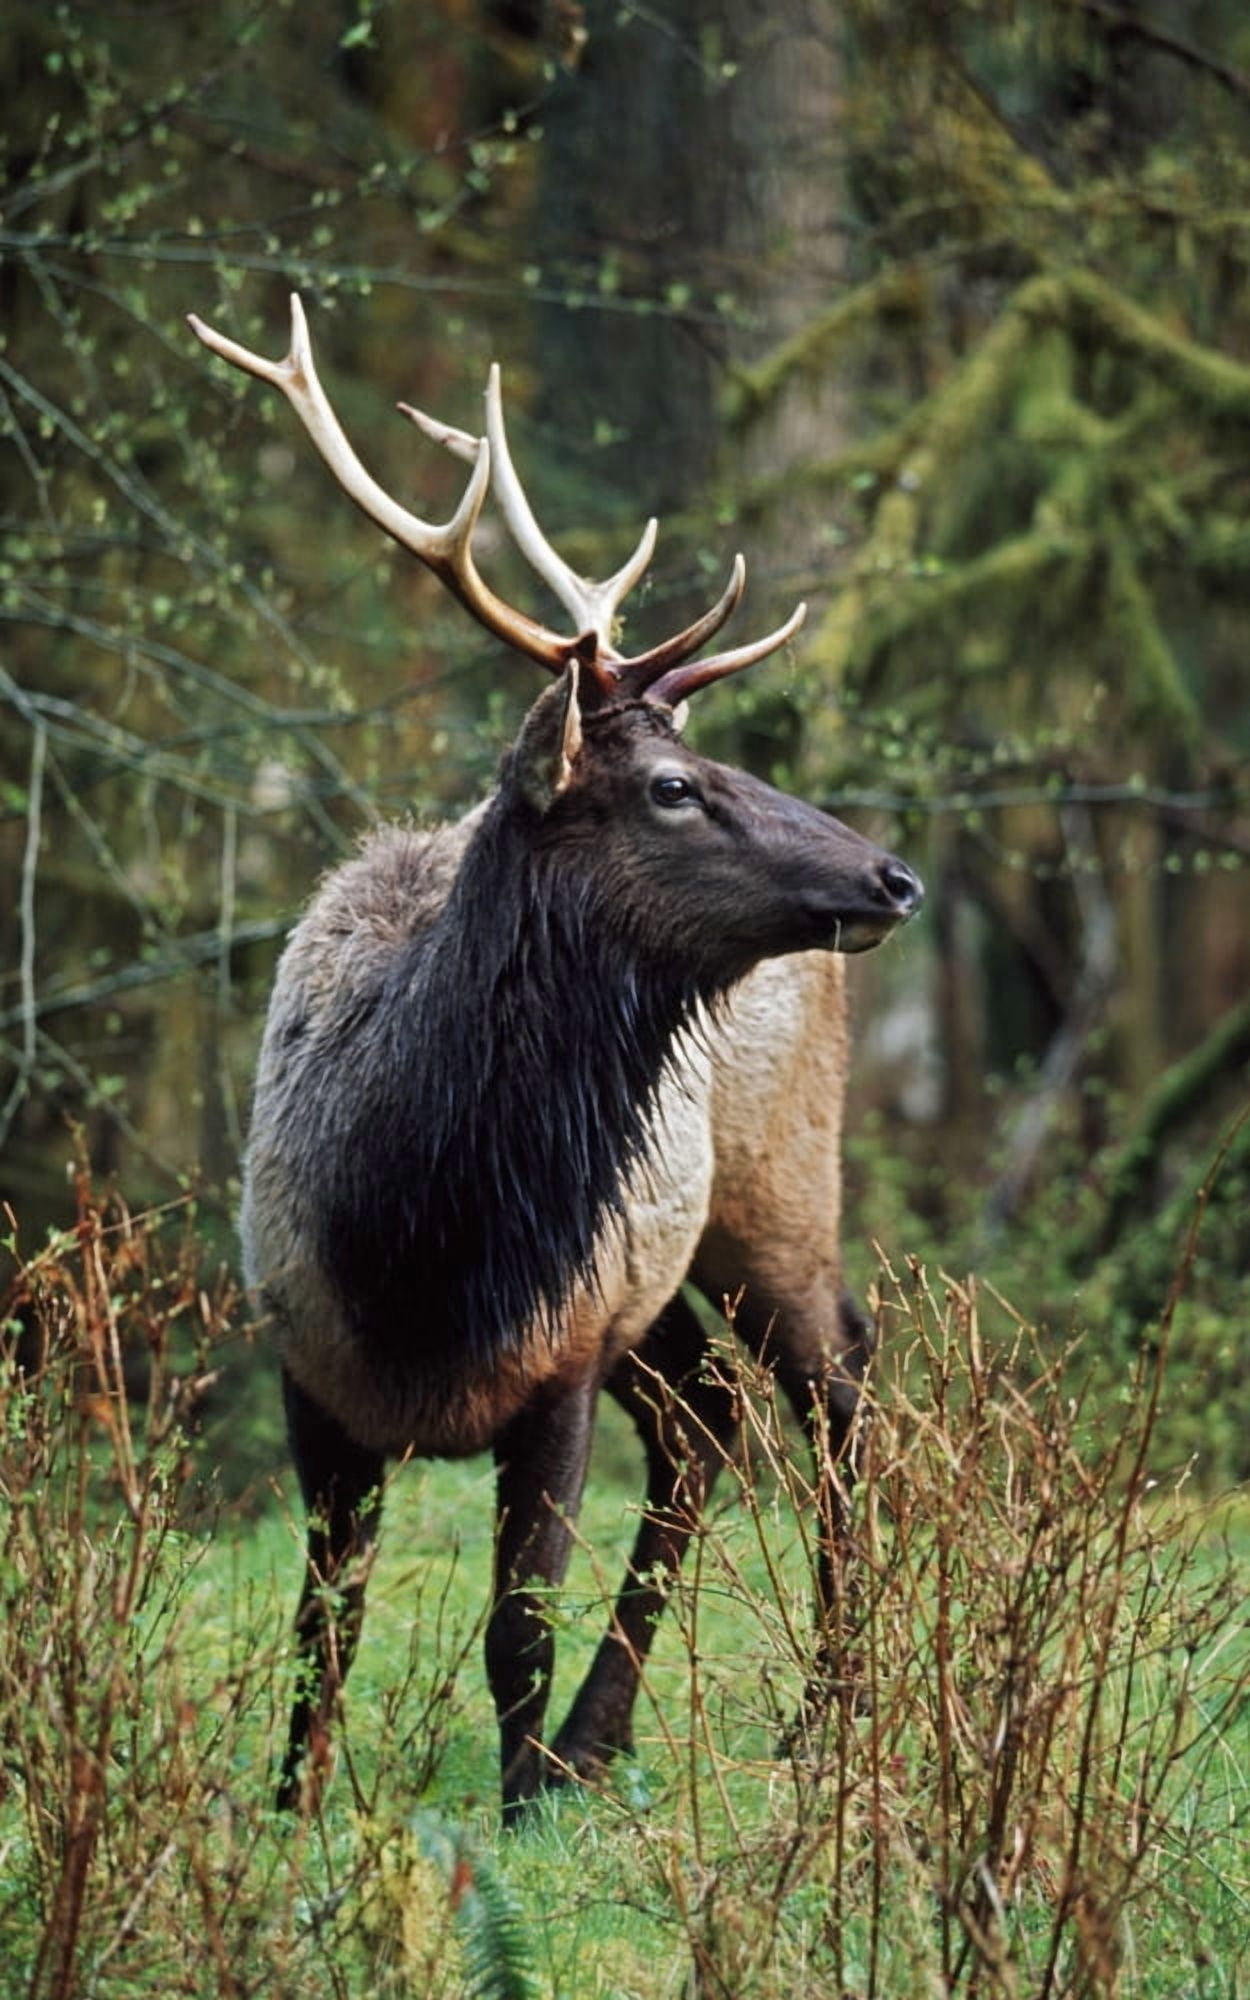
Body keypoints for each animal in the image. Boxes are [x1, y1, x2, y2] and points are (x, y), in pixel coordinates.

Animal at [188, 296, 923, 1822]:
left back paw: (822, 1715)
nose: (892, 876)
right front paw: (293, 1802)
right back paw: (608, 1732)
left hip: (772, 1191)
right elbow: (321, 1617)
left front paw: (518, 1806)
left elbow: (510, 1620)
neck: (421, 1238)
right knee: (708, 1420)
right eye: (672, 784)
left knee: (833, 1387)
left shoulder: (560, 1357)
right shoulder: (305, 1356)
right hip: (659, 1273)